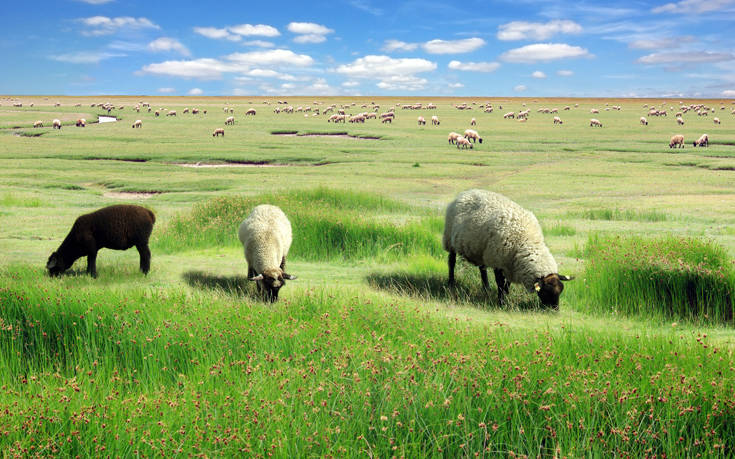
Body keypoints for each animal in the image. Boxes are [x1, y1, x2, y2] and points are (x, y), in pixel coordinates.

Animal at [442, 190, 576, 310]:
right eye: (546, 292)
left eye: (560, 291)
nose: (555, 310)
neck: (526, 242)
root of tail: (464, 193)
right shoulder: (498, 261)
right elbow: (500, 284)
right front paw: (501, 302)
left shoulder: (510, 265)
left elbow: (507, 285)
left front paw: (505, 297)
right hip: (450, 239)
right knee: (451, 262)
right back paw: (451, 283)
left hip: (481, 249)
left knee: (482, 268)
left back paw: (486, 287)